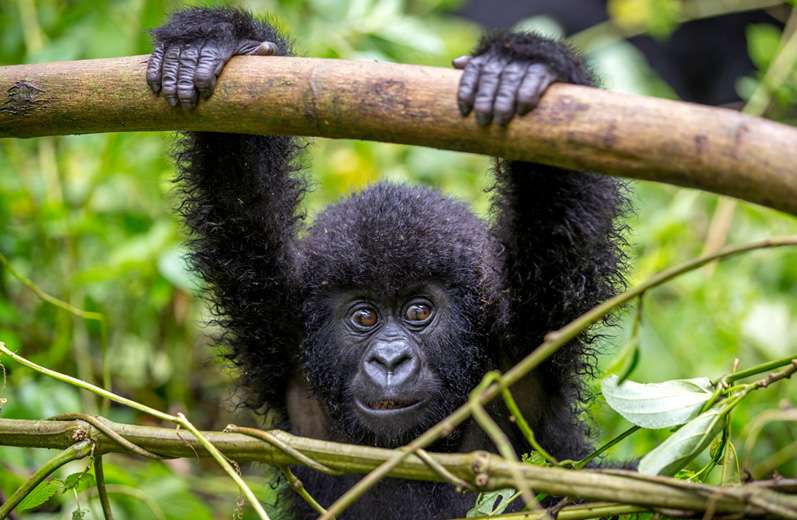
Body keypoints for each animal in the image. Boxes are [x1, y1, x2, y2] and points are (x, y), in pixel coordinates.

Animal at [146, 8, 624, 520]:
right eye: (364, 316)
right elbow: (240, 195)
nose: (390, 360)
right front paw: (213, 41)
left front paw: (523, 65)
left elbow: (556, 222)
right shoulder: (280, 326)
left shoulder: (527, 339)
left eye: (418, 311)